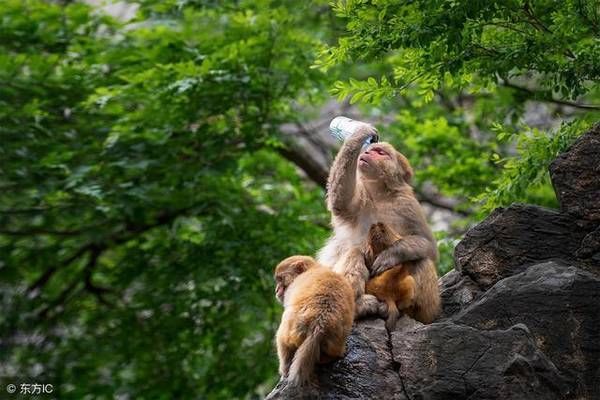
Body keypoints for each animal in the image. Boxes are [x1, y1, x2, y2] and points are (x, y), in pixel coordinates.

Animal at [274, 256, 354, 384]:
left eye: (280, 279)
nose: (276, 290)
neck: (314, 268)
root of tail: (319, 325)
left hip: (290, 330)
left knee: (281, 338)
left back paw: (285, 370)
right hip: (335, 344)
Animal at [316, 122, 438, 322]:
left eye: (380, 152)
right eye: (370, 149)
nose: (366, 152)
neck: (381, 194)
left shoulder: (409, 205)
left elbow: (428, 245)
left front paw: (390, 255)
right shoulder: (361, 197)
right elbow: (341, 202)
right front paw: (359, 134)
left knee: (421, 260)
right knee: (354, 252)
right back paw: (358, 306)